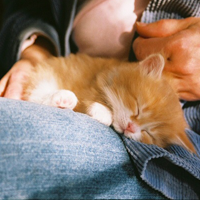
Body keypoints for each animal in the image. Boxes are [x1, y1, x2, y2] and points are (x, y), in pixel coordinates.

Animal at [22, 52, 195, 153]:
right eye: (138, 108)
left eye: (149, 133)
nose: (131, 127)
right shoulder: (90, 87)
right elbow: (92, 101)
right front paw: (103, 111)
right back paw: (64, 97)